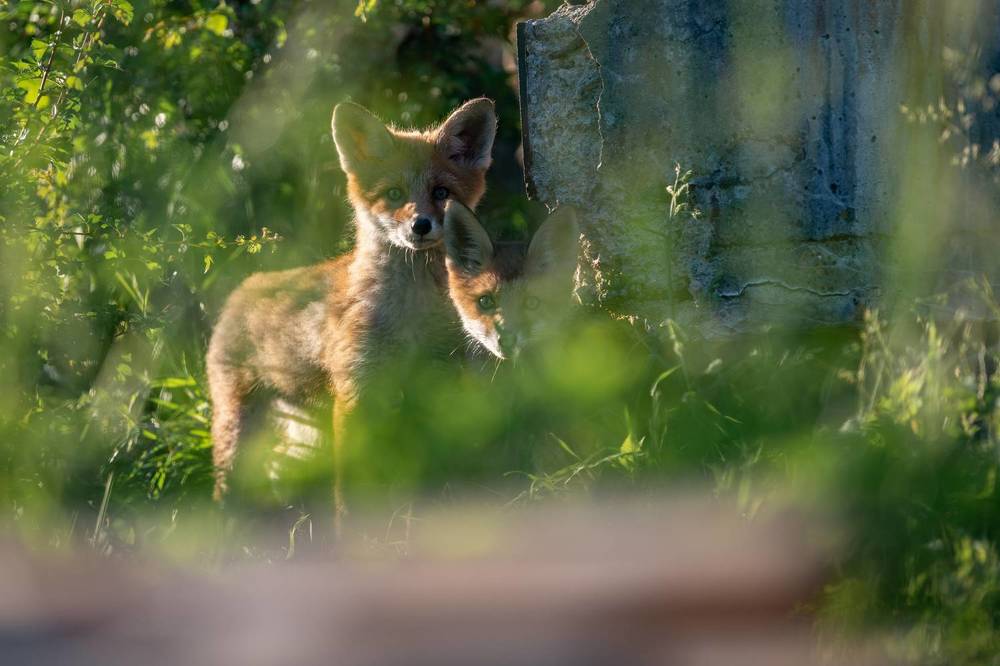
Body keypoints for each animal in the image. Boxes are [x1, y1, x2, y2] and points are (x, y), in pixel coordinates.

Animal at [207, 99, 498, 508]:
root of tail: (246, 286)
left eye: (441, 192)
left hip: (301, 442)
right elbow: (354, 484)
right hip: (239, 432)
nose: (420, 225)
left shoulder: (440, 380)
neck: (412, 310)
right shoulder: (357, 388)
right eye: (393, 194)